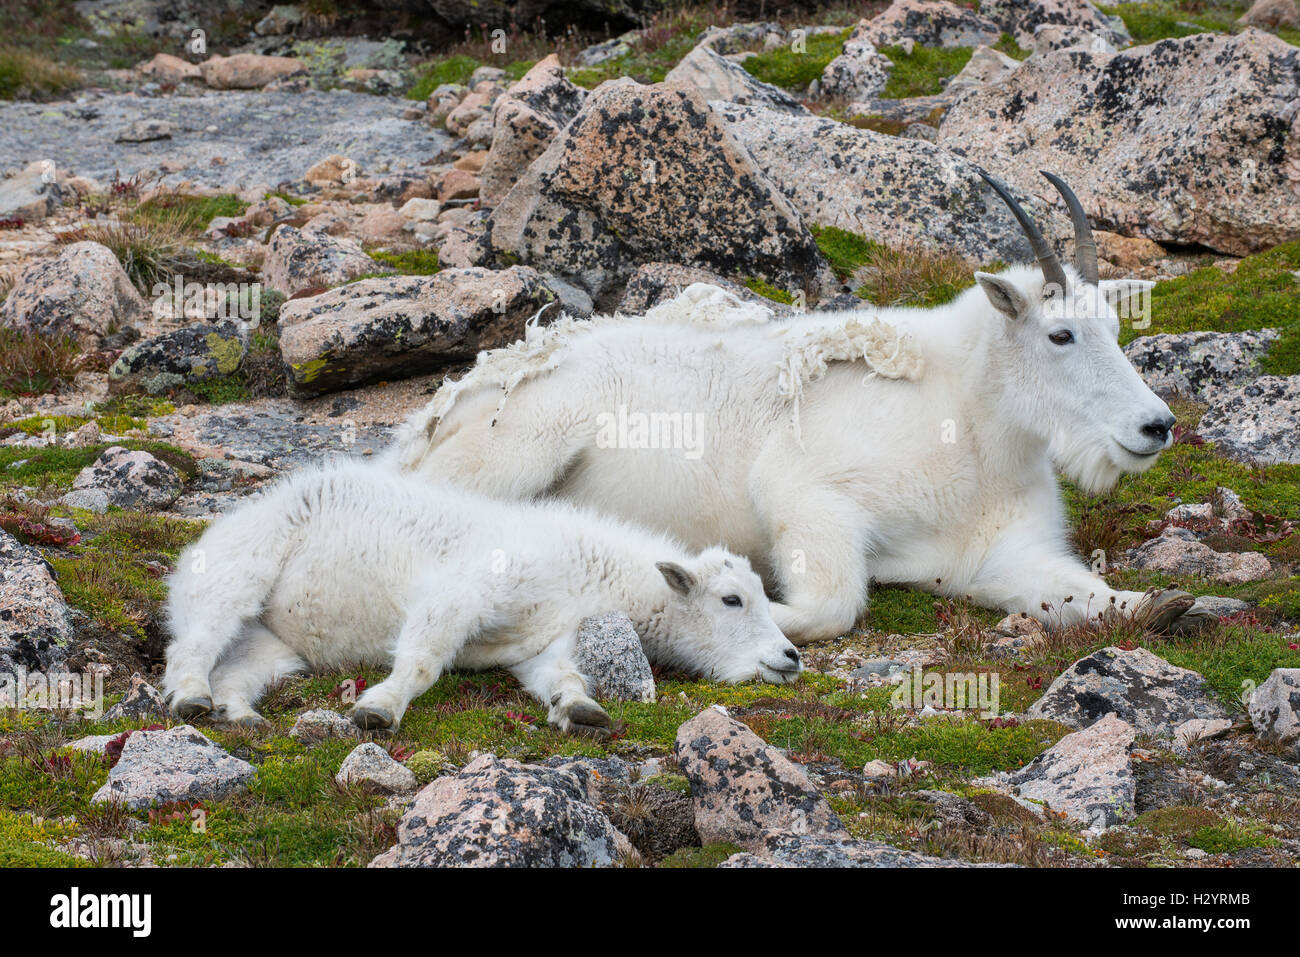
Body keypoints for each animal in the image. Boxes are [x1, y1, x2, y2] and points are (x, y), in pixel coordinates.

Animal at [390, 174, 1211, 647]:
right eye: (1060, 333)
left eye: (1114, 326)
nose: (1156, 426)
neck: (972, 427)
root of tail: (440, 411)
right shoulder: (808, 493)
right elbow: (831, 606)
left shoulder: (999, 555)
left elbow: (1089, 596)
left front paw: (1168, 603)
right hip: (517, 448)